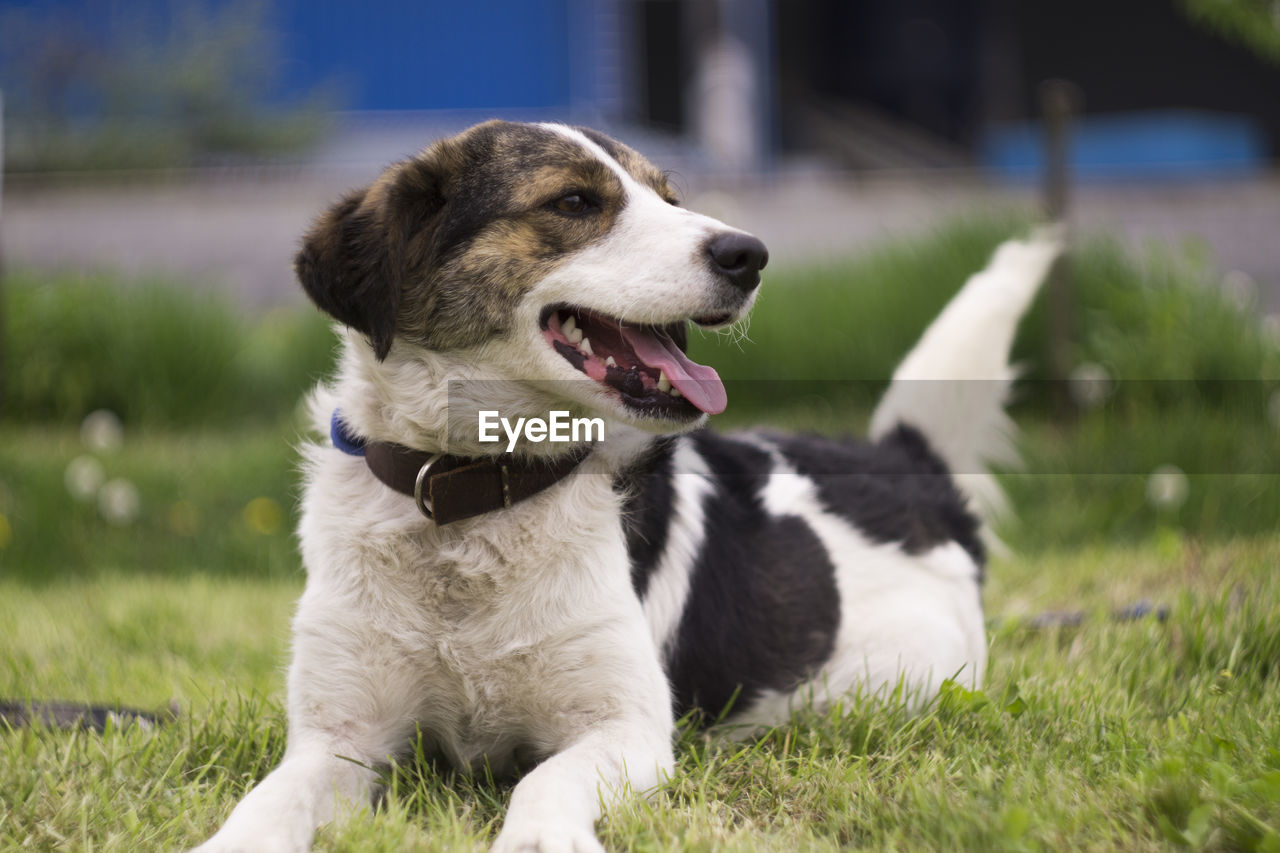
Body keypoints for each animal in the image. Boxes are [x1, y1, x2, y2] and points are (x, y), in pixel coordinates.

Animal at [197, 121, 1059, 850]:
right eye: (576, 202)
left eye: (669, 199)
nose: (750, 253)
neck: (474, 497)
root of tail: (905, 464)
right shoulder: (339, 741)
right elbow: (264, 805)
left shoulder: (625, 730)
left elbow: (543, 782)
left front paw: (539, 840)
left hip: (890, 682)